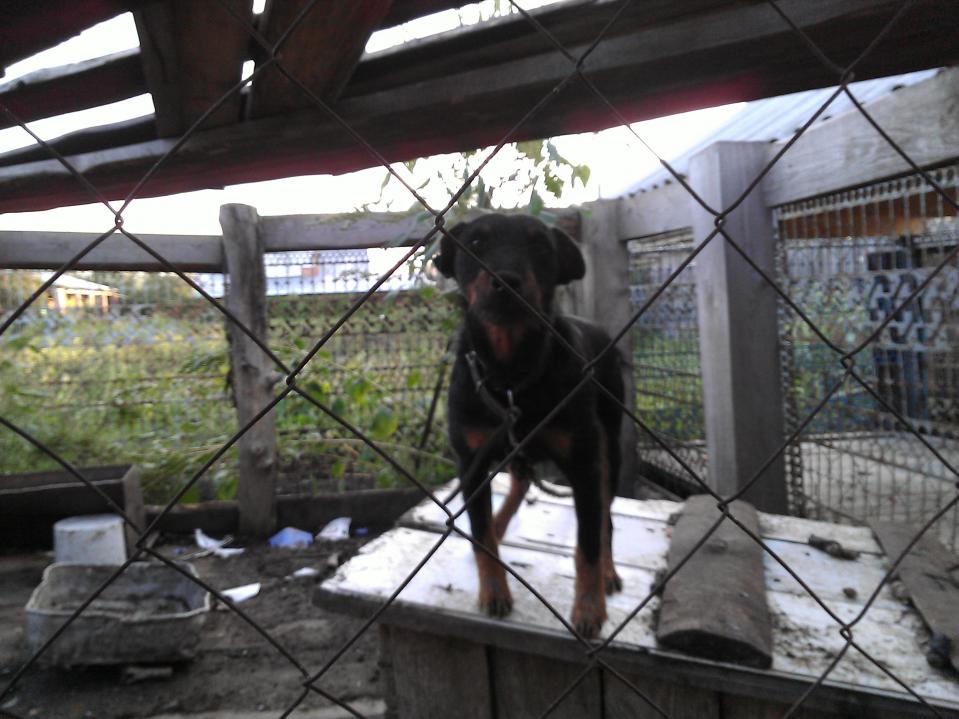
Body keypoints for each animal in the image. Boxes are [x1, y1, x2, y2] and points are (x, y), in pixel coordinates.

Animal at [434, 213, 625, 639]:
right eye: (475, 243)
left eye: (541, 246)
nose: (505, 281)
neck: (510, 377)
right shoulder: (471, 462)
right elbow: (481, 534)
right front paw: (494, 592)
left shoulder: (585, 464)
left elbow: (588, 544)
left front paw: (589, 610)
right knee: (520, 482)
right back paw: (501, 523)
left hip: (611, 441)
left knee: (604, 517)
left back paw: (608, 572)